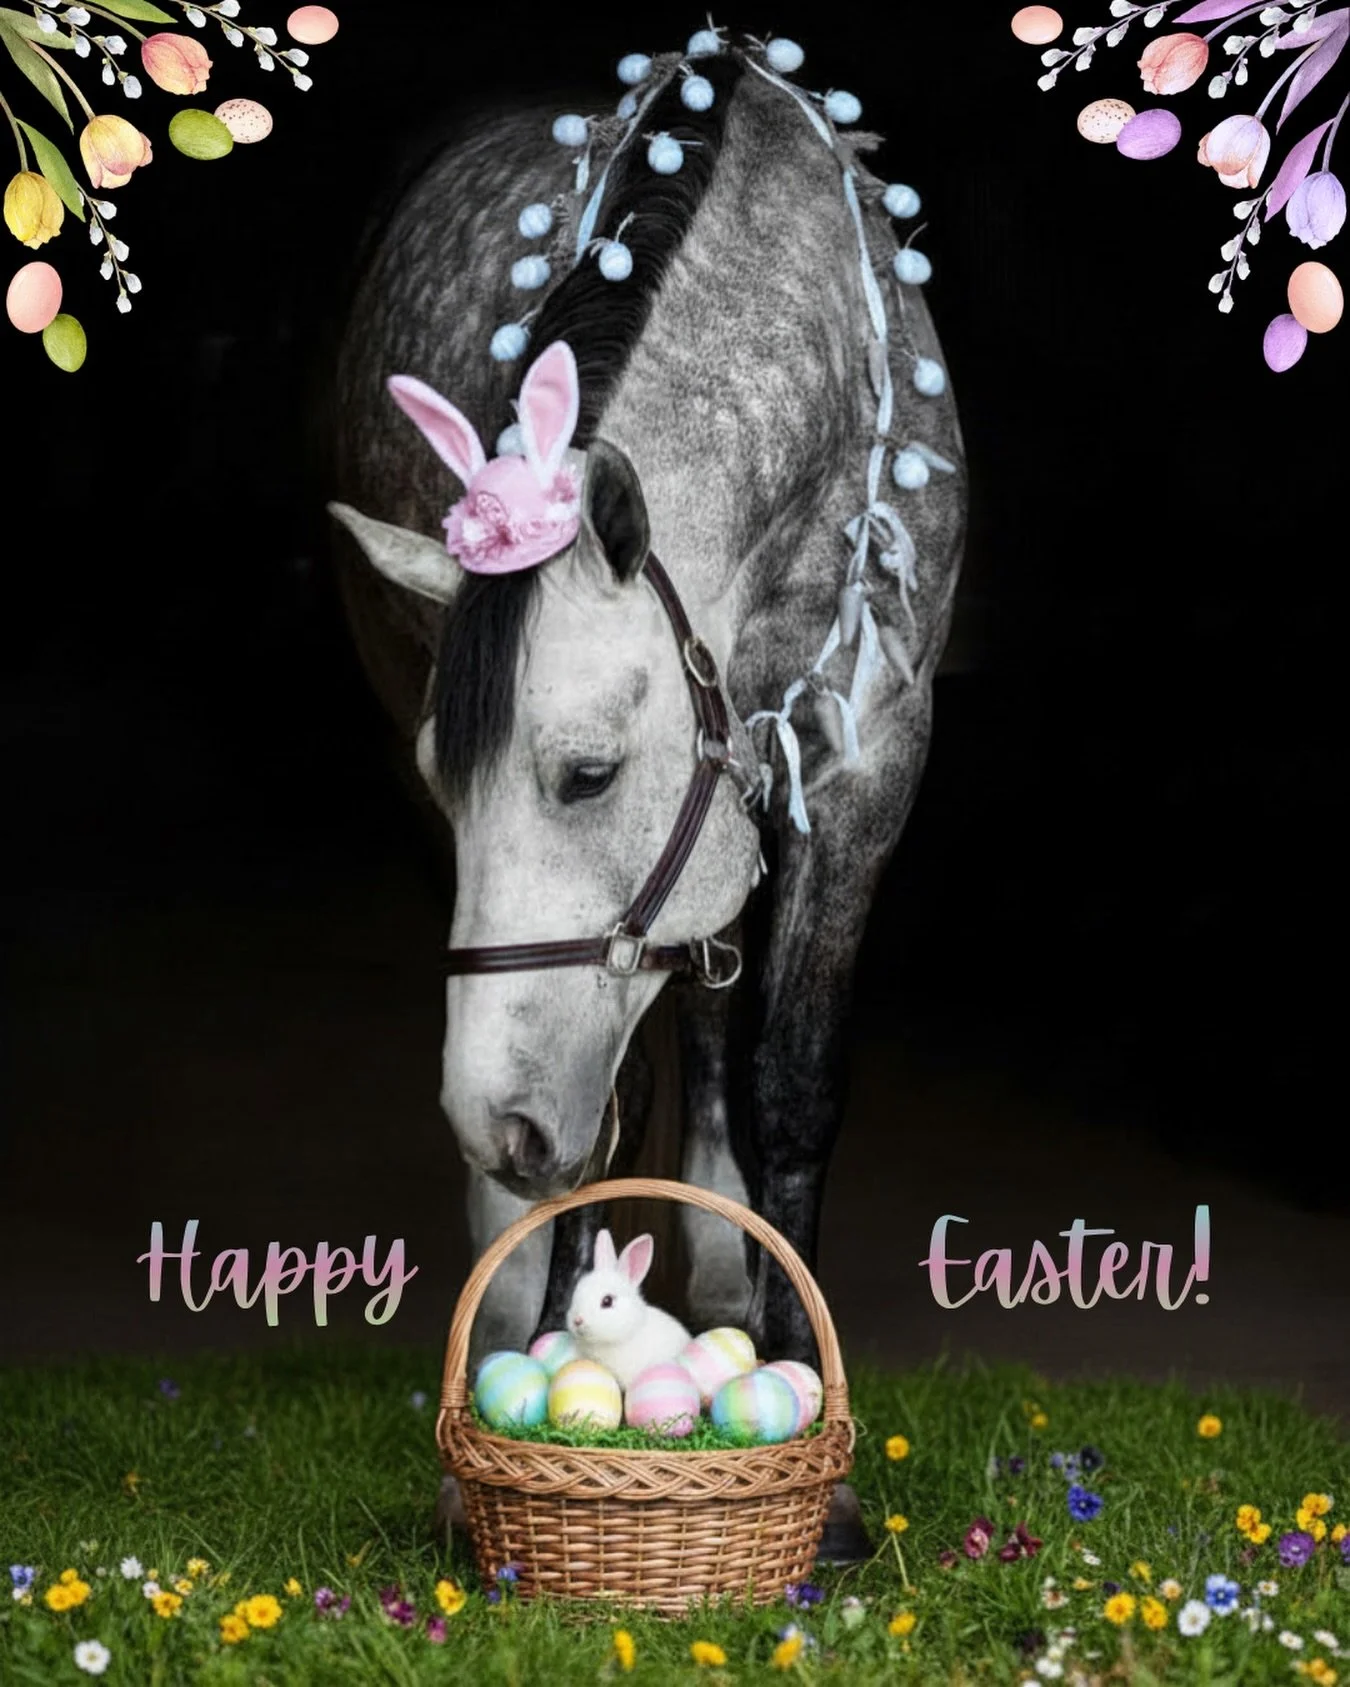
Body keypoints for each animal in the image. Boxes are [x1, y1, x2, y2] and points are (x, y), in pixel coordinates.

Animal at [329, 39, 966, 1508]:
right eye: (444, 779)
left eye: (586, 772)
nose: (489, 1115)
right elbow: (603, 1128)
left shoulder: (870, 766)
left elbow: (789, 1084)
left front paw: (821, 1473)